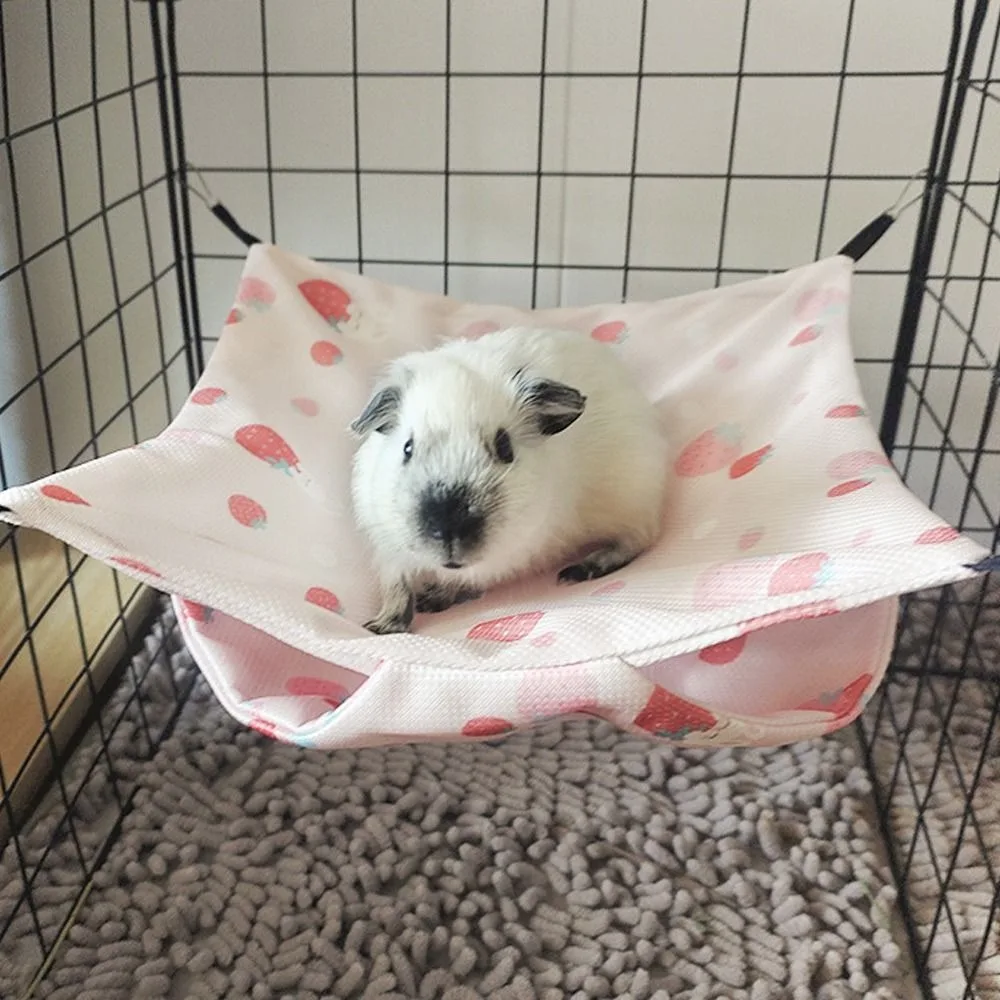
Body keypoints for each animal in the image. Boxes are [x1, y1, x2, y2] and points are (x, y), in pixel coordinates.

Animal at [349, 325, 668, 634]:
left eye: (505, 447)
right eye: (407, 448)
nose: (449, 530)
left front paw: (431, 599)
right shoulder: (388, 548)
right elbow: (397, 588)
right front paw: (380, 627)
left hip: (633, 503)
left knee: (638, 540)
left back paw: (577, 571)